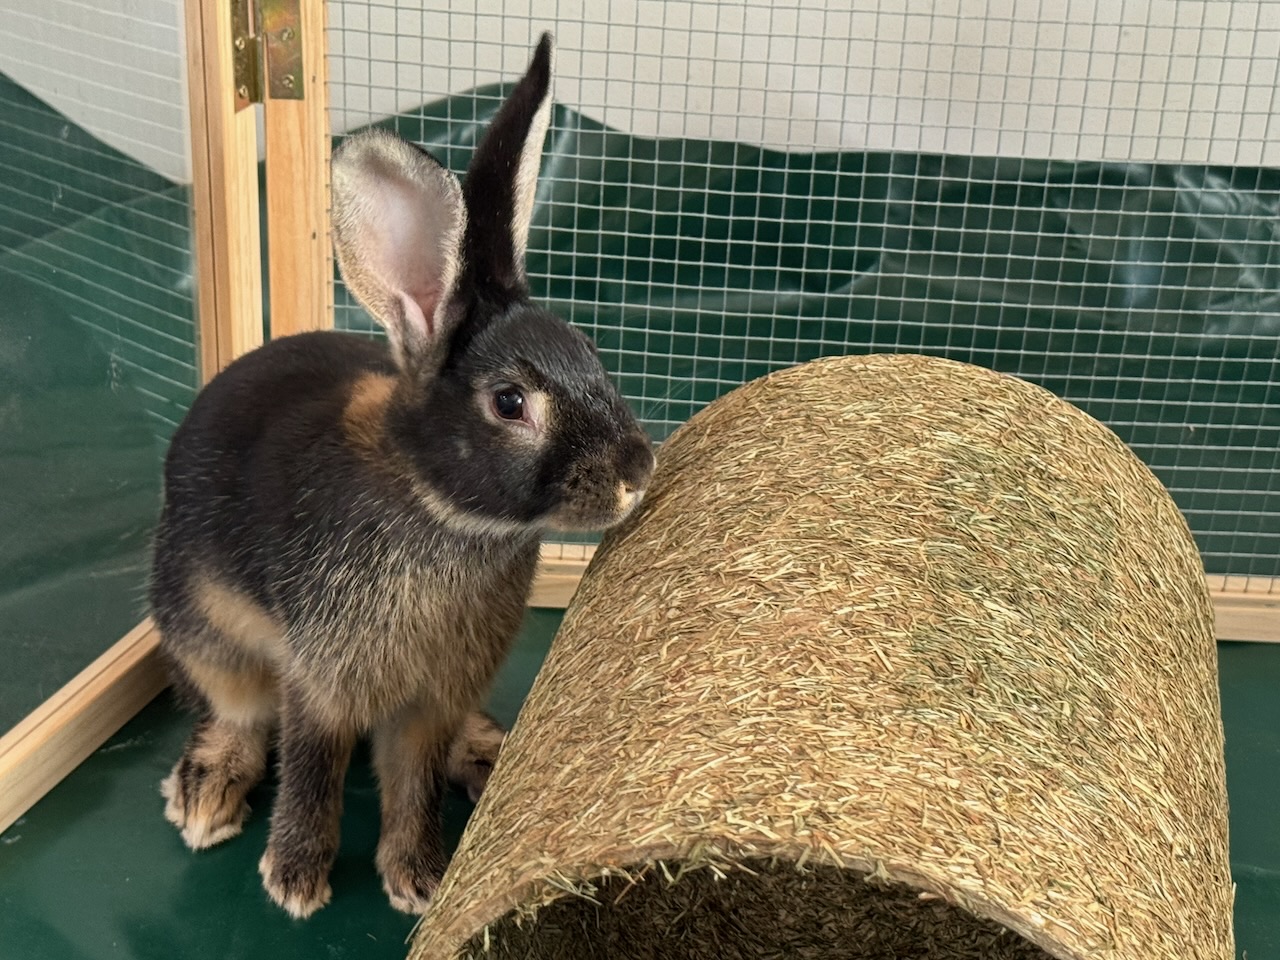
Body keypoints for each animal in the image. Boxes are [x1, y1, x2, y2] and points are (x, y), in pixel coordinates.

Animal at [149, 32, 654, 920]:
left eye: (591, 352)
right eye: (510, 401)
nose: (638, 471)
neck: (437, 507)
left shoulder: (432, 703)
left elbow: (412, 780)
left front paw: (419, 877)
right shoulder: (322, 682)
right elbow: (313, 768)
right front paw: (295, 882)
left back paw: (486, 752)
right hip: (203, 628)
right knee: (235, 713)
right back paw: (206, 794)